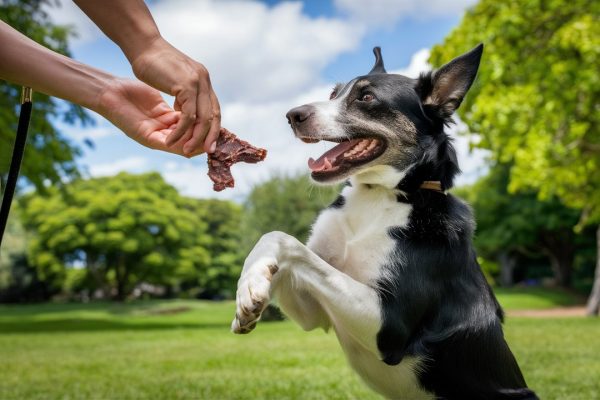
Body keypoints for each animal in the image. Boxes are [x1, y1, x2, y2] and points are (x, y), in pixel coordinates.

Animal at [231, 45, 540, 398]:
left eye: (366, 97)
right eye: (333, 94)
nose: (292, 115)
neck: (379, 195)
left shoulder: (388, 325)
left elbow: (291, 243)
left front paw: (252, 286)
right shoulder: (315, 313)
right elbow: (274, 239)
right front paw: (250, 288)